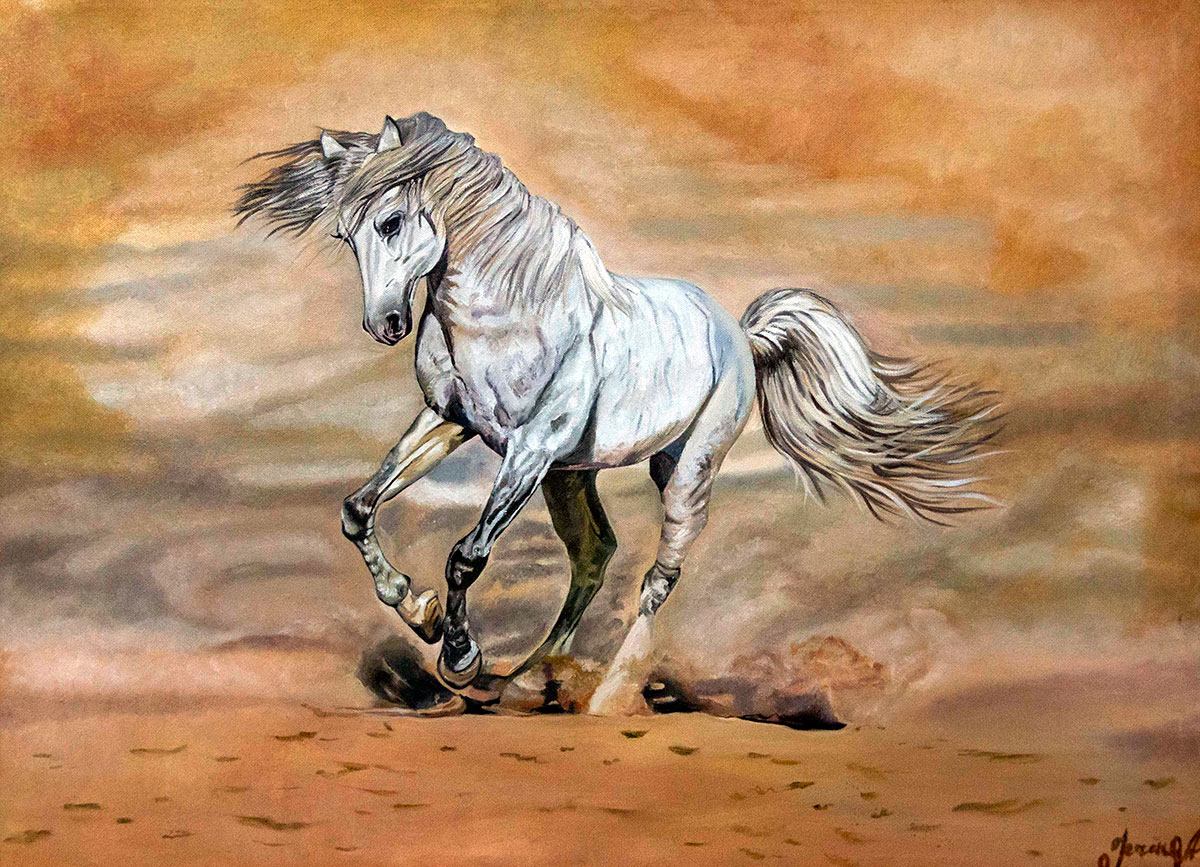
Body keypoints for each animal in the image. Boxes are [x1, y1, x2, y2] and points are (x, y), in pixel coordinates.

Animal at [235, 112, 998, 703]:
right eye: (345, 235)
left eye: (392, 222)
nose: (386, 324)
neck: (508, 312)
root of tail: (739, 332)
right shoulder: (452, 423)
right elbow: (358, 508)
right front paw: (416, 610)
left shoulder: (529, 448)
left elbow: (466, 556)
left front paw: (457, 657)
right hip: (573, 474)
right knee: (595, 554)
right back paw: (528, 677)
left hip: (681, 469)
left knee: (659, 576)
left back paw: (605, 690)